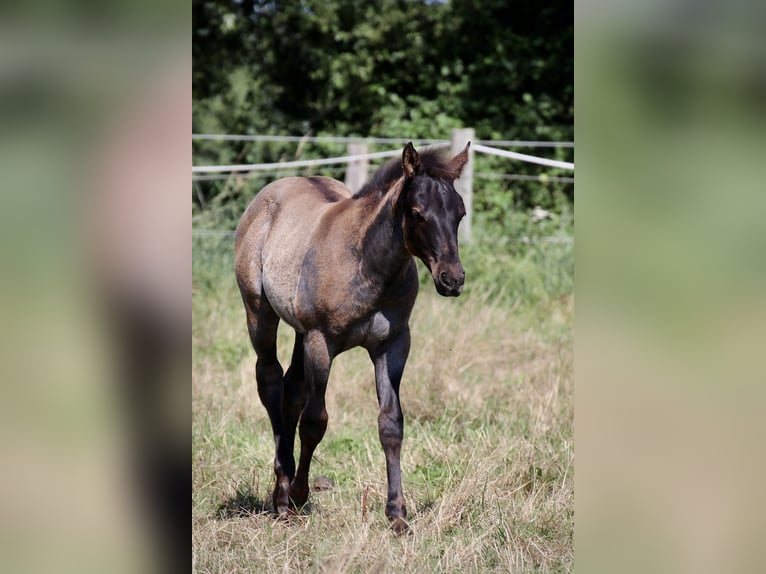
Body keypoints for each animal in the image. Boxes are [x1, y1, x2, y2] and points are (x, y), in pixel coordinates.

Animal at [234, 141, 472, 536]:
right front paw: (298, 494)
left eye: (460, 213)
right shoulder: (321, 342)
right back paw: (283, 492)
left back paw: (282, 490)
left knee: (291, 390)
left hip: (299, 332)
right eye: (417, 213)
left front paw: (397, 515)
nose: (452, 279)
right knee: (270, 381)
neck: (368, 264)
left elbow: (391, 424)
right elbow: (315, 422)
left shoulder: (393, 345)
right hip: (260, 314)